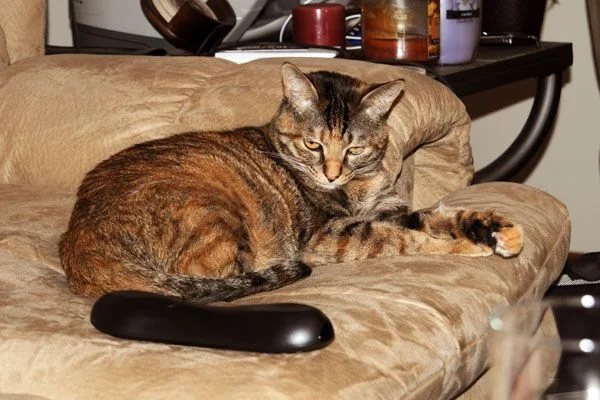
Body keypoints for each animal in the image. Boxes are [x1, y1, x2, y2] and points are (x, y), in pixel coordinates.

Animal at [58, 63, 524, 304]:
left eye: (354, 148)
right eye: (313, 143)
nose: (331, 173)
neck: (356, 186)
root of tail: (80, 243)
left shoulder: (388, 207)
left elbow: (427, 217)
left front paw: (494, 228)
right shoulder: (330, 235)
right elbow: (405, 235)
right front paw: (469, 245)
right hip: (213, 212)